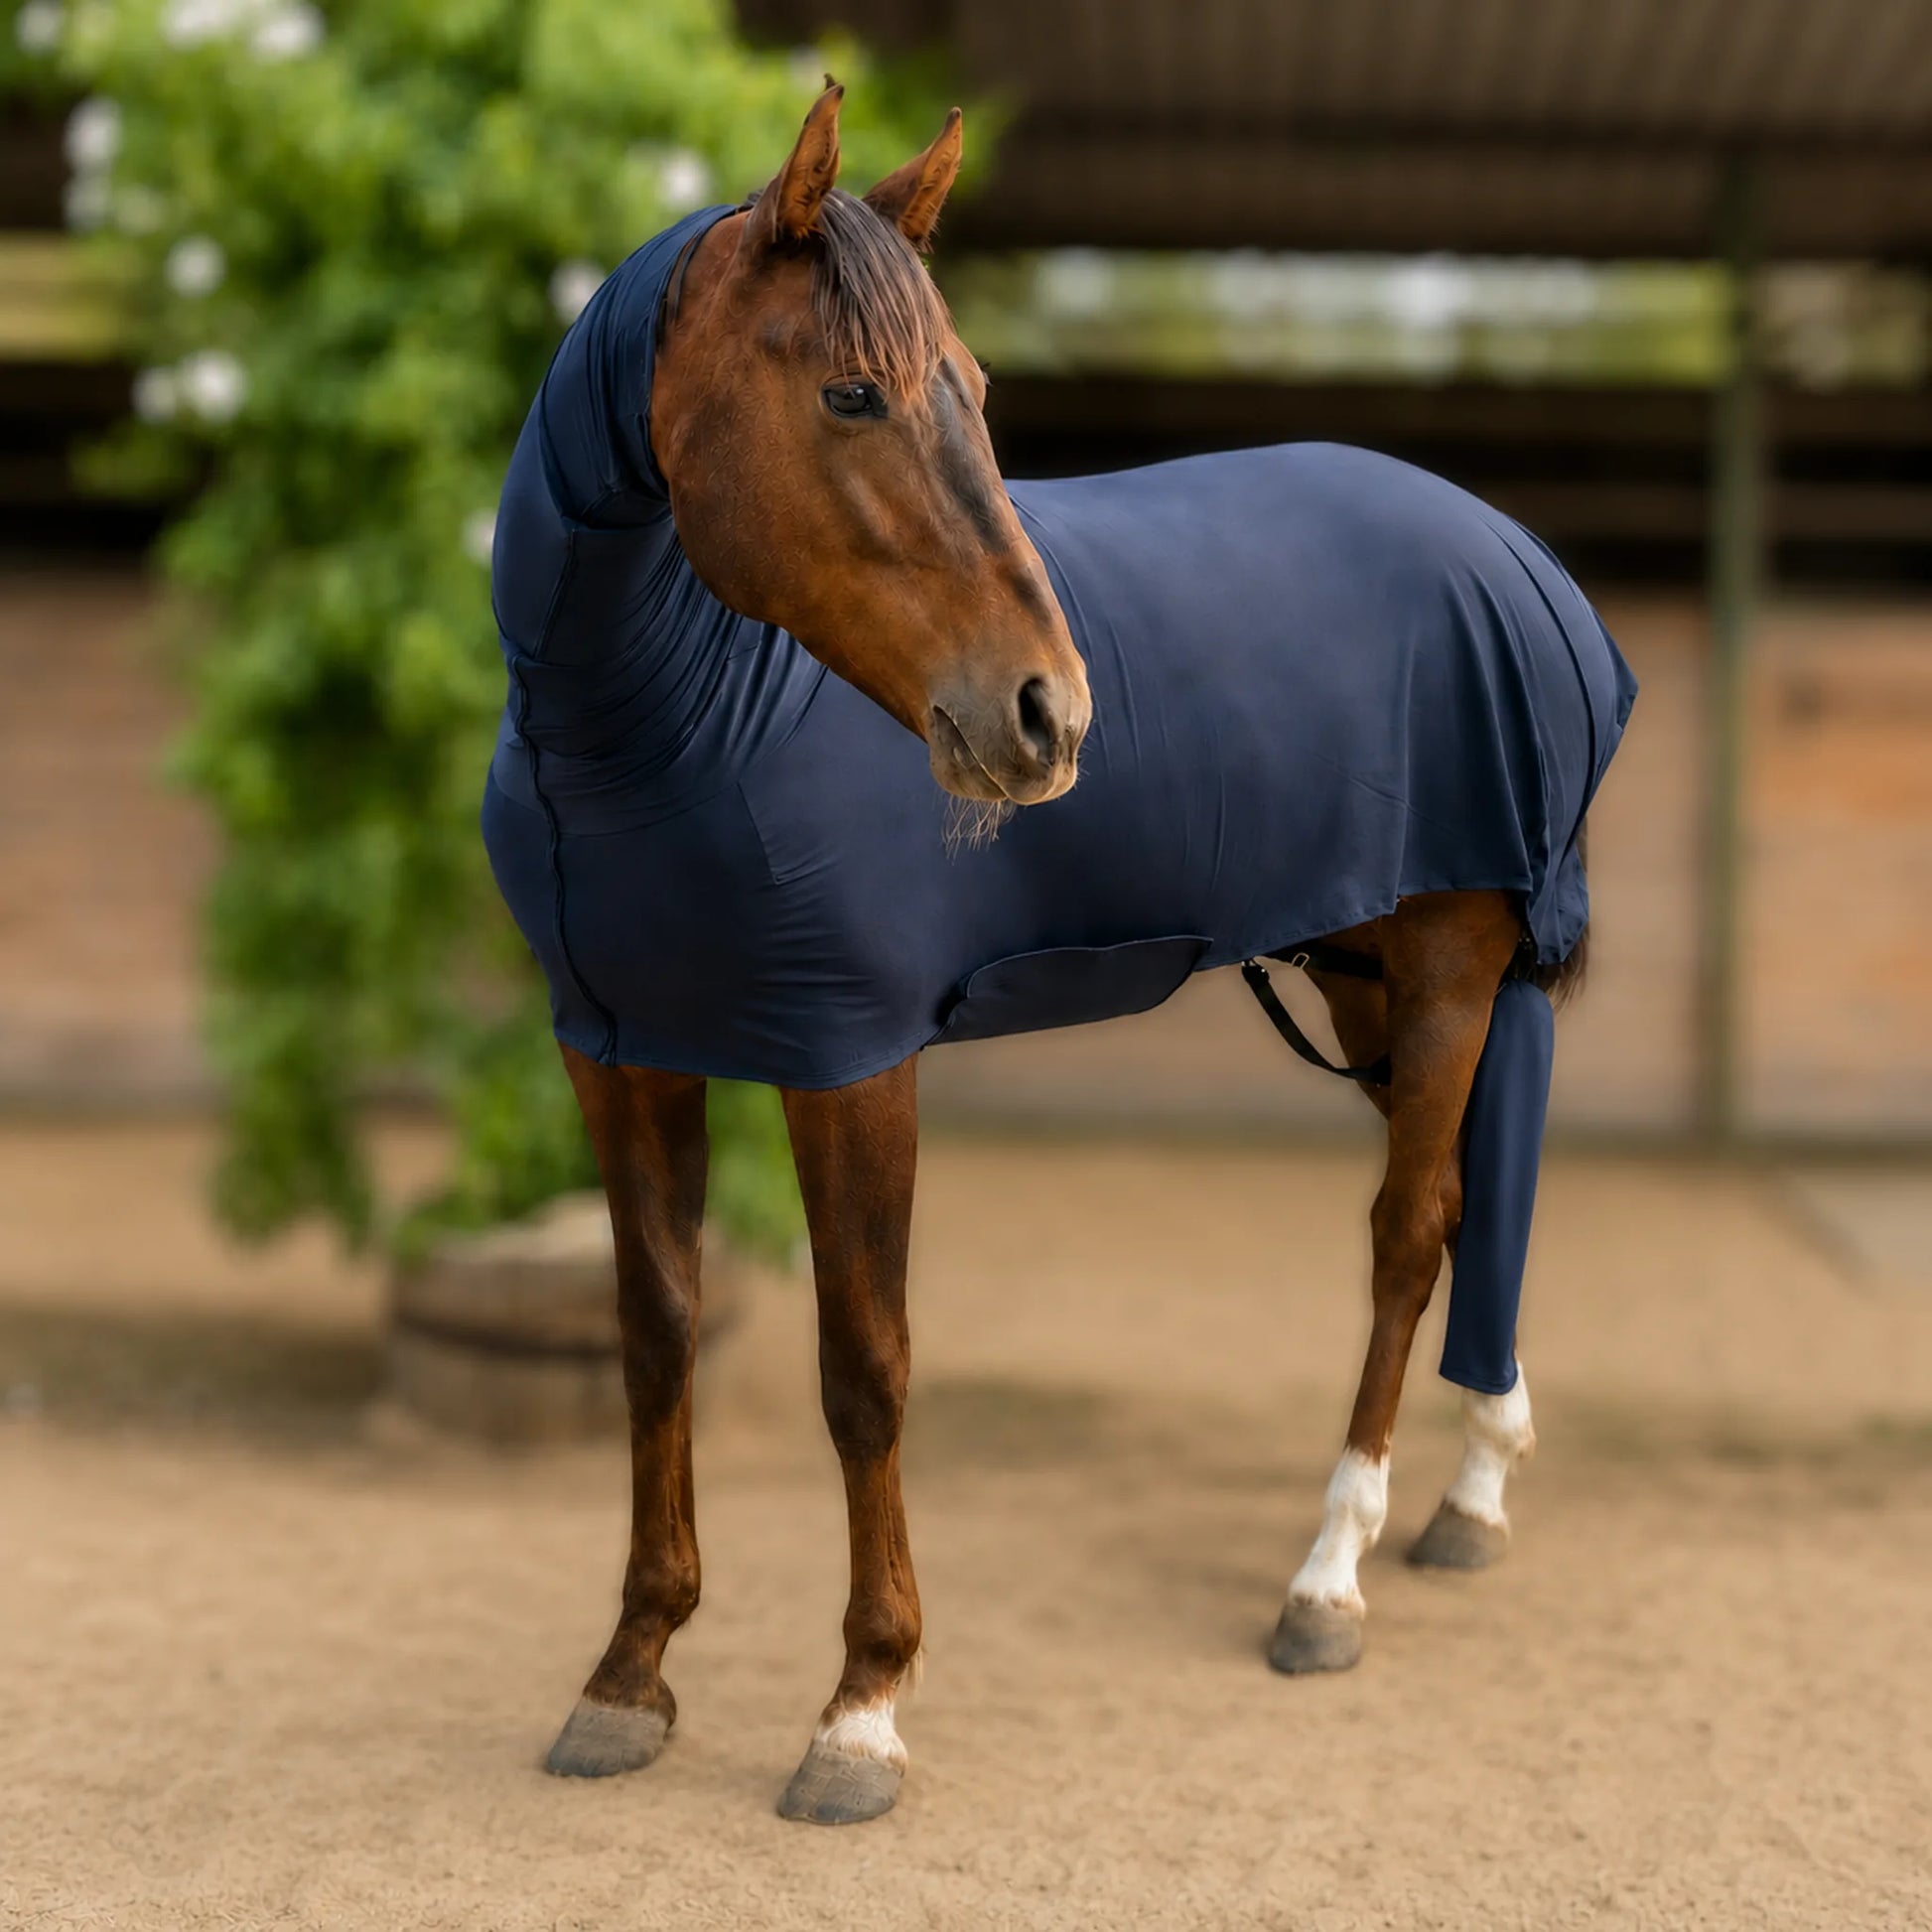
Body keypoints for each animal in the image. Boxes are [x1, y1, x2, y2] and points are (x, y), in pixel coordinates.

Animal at [480, 84, 1637, 1825]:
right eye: (848, 391)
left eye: (968, 387)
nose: (1047, 713)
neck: (652, 729)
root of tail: (1509, 552)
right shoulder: (618, 1050)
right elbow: (655, 1332)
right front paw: (629, 1672)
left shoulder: (848, 1058)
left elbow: (863, 1363)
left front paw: (861, 1710)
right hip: (1366, 973)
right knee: (1481, 1190)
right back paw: (1471, 1495)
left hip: (1440, 968)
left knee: (1406, 1233)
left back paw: (1328, 1577)